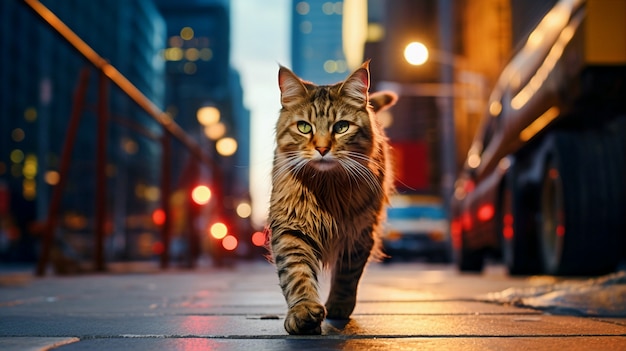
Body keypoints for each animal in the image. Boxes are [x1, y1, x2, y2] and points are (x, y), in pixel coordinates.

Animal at [266, 60, 394, 336]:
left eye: (341, 127)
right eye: (304, 127)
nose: (322, 148)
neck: (327, 189)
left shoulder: (358, 232)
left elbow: (347, 275)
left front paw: (338, 305)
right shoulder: (292, 229)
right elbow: (297, 274)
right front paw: (303, 312)